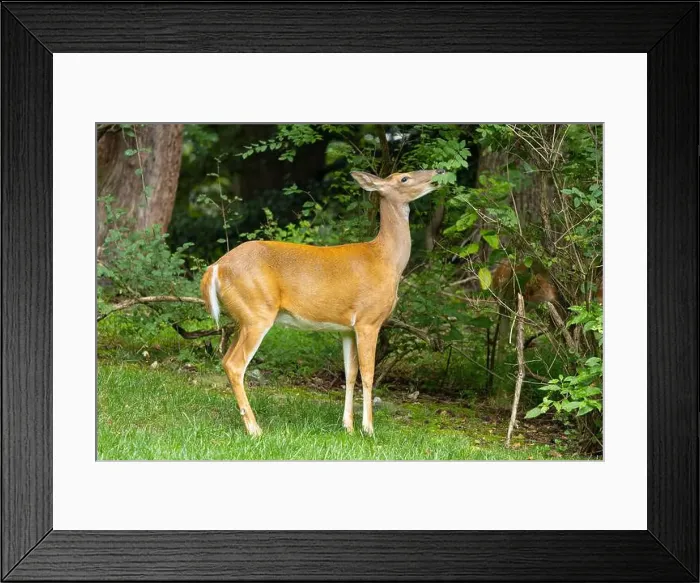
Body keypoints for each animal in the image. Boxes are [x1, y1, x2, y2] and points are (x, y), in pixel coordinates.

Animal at [200, 169, 445, 436]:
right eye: (404, 178)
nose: (439, 172)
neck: (386, 259)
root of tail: (216, 267)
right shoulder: (368, 320)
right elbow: (369, 373)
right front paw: (368, 429)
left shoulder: (347, 328)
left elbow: (350, 373)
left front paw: (348, 426)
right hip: (257, 313)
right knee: (236, 365)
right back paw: (255, 429)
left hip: (242, 318)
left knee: (225, 360)